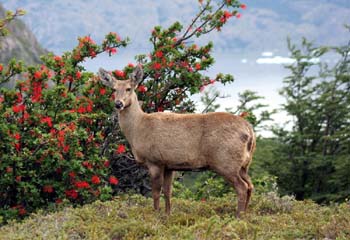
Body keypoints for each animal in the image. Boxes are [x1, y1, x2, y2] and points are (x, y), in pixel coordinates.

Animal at [98, 65, 258, 218]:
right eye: (113, 89)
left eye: (129, 88)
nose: (118, 104)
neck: (138, 129)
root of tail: (249, 131)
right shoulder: (169, 164)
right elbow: (168, 192)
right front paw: (168, 215)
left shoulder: (155, 160)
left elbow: (155, 193)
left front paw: (155, 216)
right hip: (243, 164)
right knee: (250, 186)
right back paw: (245, 215)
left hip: (226, 161)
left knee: (242, 187)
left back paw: (238, 217)